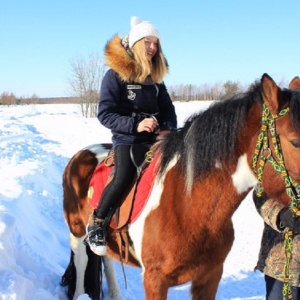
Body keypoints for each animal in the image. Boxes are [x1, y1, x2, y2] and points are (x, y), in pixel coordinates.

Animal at [62, 73, 300, 300]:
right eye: (295, 142)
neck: (189, 204)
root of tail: (83, 153)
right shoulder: (155, 280)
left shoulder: (210, 275)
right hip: (77, 232)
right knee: (81, 262)